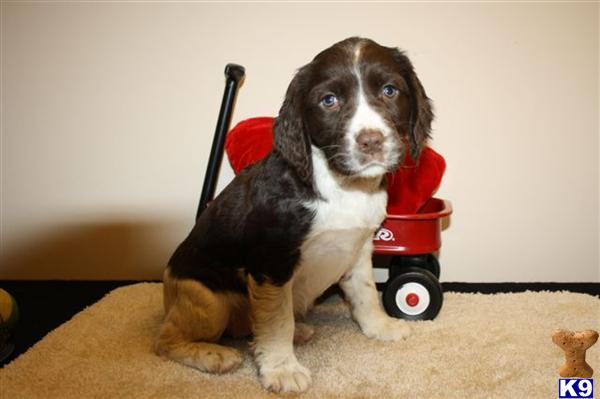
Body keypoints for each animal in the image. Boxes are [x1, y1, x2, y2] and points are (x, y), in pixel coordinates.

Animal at [156, 36, 432, 394]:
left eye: (389, 90)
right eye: (329, 101)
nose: (371, 141)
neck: (342, 186)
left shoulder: (358, 248)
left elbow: (366, 293)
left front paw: (380, 327)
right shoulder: (271, 263)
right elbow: (277, 321)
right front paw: (282, 369)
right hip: (206, 297)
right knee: (165, 340)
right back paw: (212, 354)